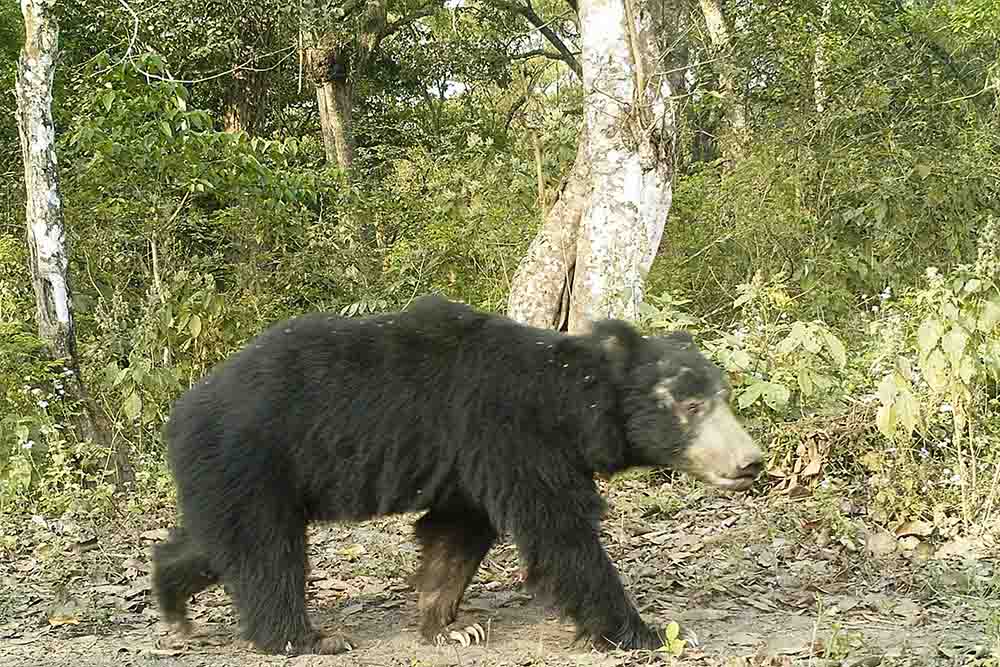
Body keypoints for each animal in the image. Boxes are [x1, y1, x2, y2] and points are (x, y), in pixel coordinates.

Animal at [151, 294, 763, 656]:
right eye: (689, 407)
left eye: (725, 399)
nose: (751, 462)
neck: (565, 399)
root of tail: (178, 414)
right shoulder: (509, 434)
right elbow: (559, 533)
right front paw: (643, 631)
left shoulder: (473, 463)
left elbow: (456, 533)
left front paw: (450, 624)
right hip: (253, 458)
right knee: (265, 553)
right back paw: (306, 638)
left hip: (238, 475)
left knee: (217, 543)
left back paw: (174, 606)